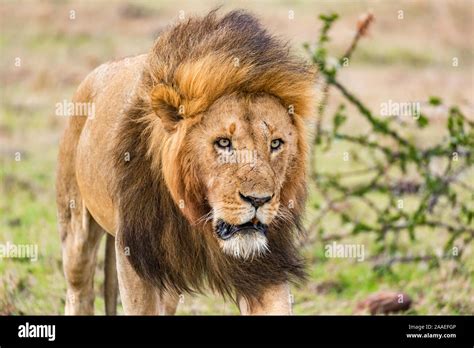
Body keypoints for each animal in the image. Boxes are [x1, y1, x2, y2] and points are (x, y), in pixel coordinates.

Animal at [56, 9, 314, 316]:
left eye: (275, 144)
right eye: (223, 143)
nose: (259, 200)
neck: (196, 213)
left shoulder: (264, 265)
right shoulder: (135, 257)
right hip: (76, 227)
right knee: (79, 287)